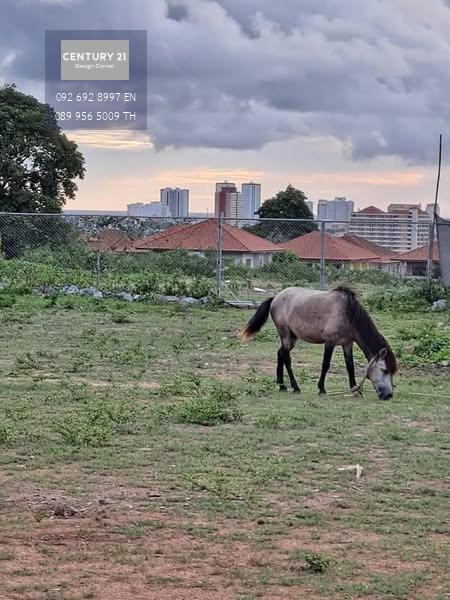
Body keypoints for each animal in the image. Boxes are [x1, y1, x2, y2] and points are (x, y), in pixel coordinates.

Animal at [239, 284, 398, 398]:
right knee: (286, 358)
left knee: (280, 354)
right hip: (285, 335)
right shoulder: (330, 342)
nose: (389, 395)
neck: (348, 313)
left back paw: (282, 385)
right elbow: (325, 365)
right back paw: (295, 387)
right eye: (384, 370)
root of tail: (276, 297)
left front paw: (355, 390)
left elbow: (350, 366)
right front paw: (321, 389)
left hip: (292, 337)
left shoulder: (347, 344)